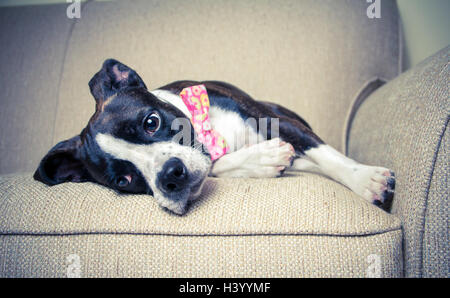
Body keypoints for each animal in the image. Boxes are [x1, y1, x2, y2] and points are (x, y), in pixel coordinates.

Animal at [34, 59, 394, 214]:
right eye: (123, 180)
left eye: (151, 122)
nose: (170, 176)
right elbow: (219, 164)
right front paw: (263, 160)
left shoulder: (278, 122)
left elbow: (326, 155)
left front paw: (365, 180)